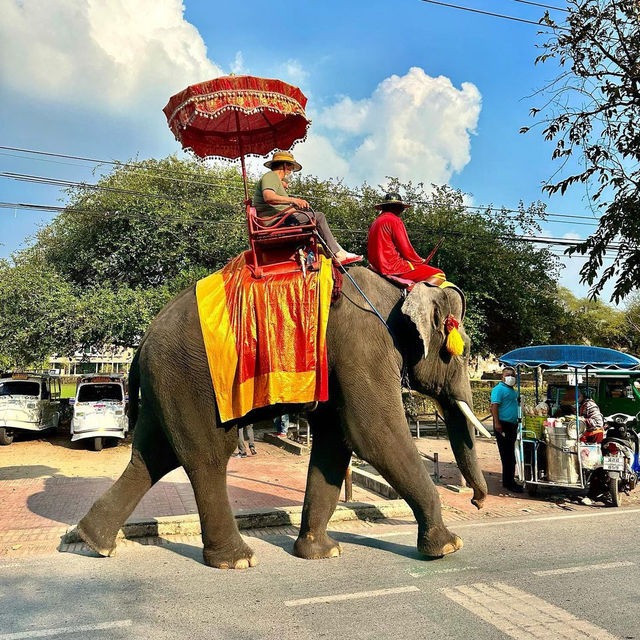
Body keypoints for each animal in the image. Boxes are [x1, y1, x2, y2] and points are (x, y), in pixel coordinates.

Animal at [76, 268, 484, 568]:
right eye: (464, 353)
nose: (478, 502)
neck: (397, 291)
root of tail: (143, 340)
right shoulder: (363, 348)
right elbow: (375, 435)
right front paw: (449, 547)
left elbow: (335, 442)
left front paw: (321, 553)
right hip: (190, 378)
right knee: (207, 456)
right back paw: (237, 561)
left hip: (165, 383)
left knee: (152, 456)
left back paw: (93, 541)